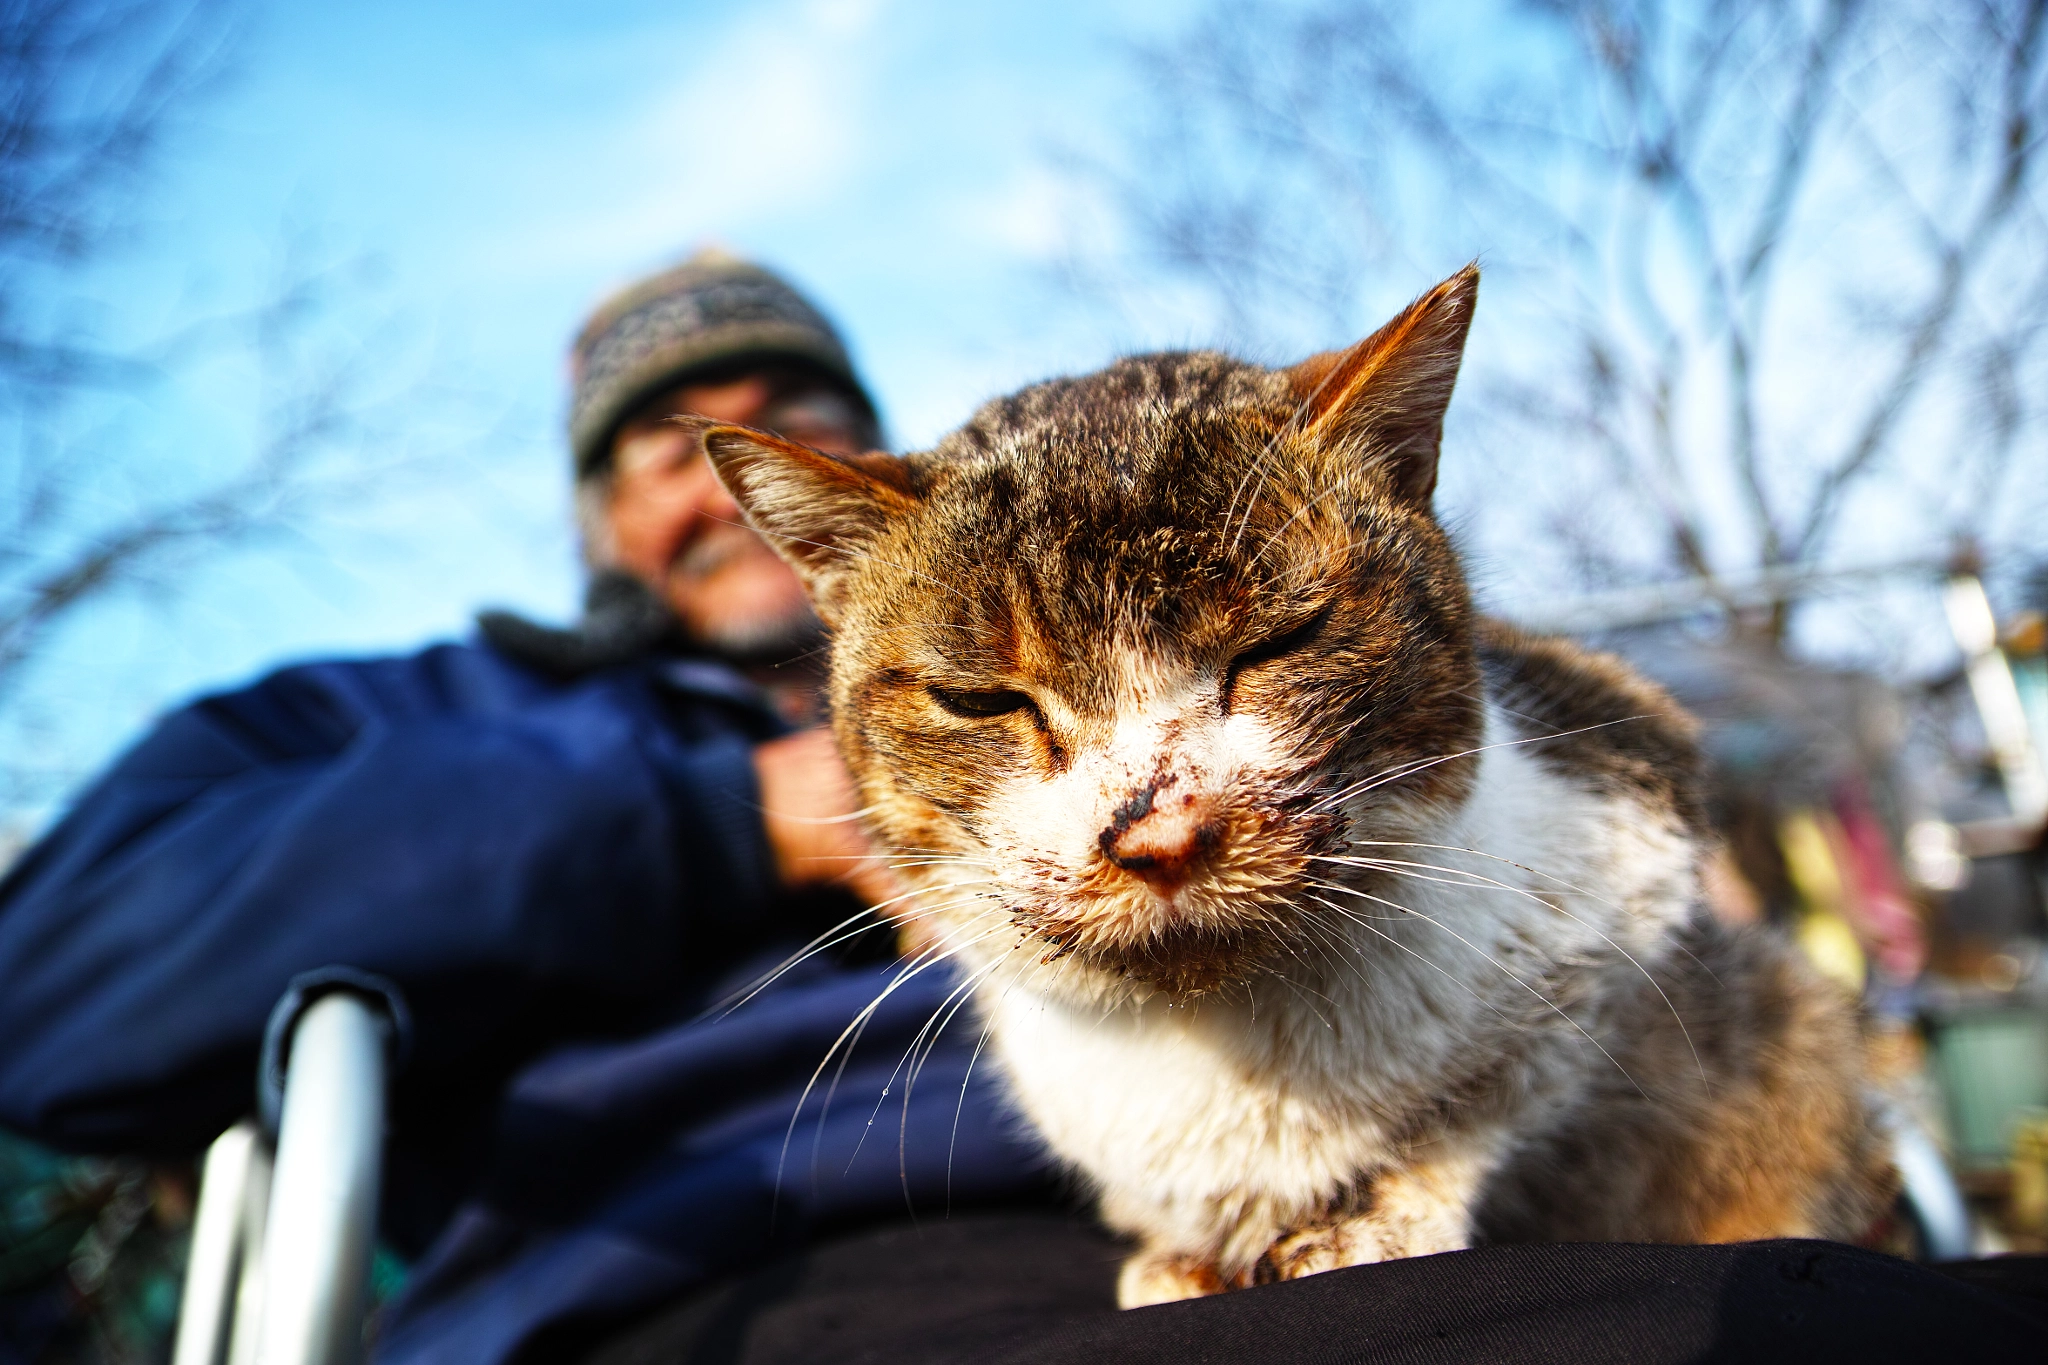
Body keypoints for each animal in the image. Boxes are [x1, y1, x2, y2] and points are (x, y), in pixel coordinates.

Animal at [696, 263, 1892, 1301]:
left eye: (1278, 642)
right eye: (980, 701)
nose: (1158, 835)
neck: (1232, 1047)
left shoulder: (1635, 850)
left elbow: (1501, 1098)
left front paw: (1380, 1209)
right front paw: (1183, 1253)